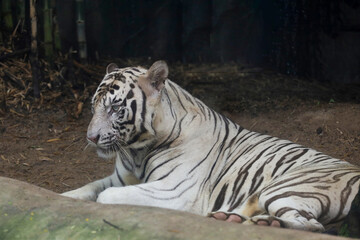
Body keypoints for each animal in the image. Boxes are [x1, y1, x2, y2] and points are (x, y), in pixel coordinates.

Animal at [62, 60, 360, 232]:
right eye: (93, 106)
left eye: (114, 108)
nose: (91, 137)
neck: (137, 149)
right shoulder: (120, 178)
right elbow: (87, 189)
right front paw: (64, 198)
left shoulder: (174, 191)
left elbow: (106, 196)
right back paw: (235, 219)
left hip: (283, 188)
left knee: (313, 226)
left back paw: (264, 222)